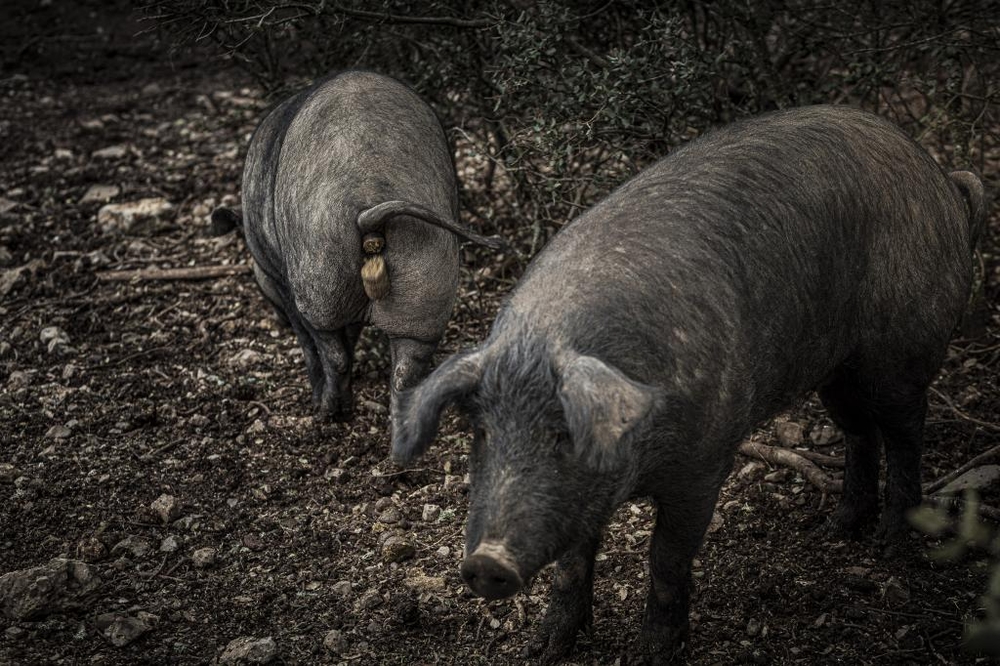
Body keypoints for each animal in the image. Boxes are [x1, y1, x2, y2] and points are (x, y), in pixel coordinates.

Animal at [215, 70, 504, 418]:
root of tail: (369, 208)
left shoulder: (281, 281)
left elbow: (311, 341)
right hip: (427, 283)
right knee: (407, 370)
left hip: (317, 268)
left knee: (331, 351)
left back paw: (328, 410)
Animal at [390, 106, 984, 660]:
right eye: (482, 434)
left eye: (563, 436)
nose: (486, 562)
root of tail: (942, 180)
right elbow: (572, 562)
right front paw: (544, 649)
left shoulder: (704, 462)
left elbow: (668, 560)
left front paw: (651, 653)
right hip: (835, 371)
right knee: (861, 432)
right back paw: (834, 530)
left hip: (902, 351)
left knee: (906, 433)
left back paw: (889, 548)